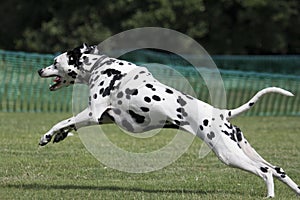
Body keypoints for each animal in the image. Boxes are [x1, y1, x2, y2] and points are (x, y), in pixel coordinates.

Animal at [38, 43, 300, 198]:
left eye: (55, 61)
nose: (40, 70)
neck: (100, 68)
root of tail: (222, 113)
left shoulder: (93, 113)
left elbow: (61, 121)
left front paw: (47, 136)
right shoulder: (104, 119)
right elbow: (69, 124)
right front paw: (58, 136)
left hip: (228, 154)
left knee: (265, 172)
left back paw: (269, 195)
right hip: (243, 149)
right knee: (278, 169)